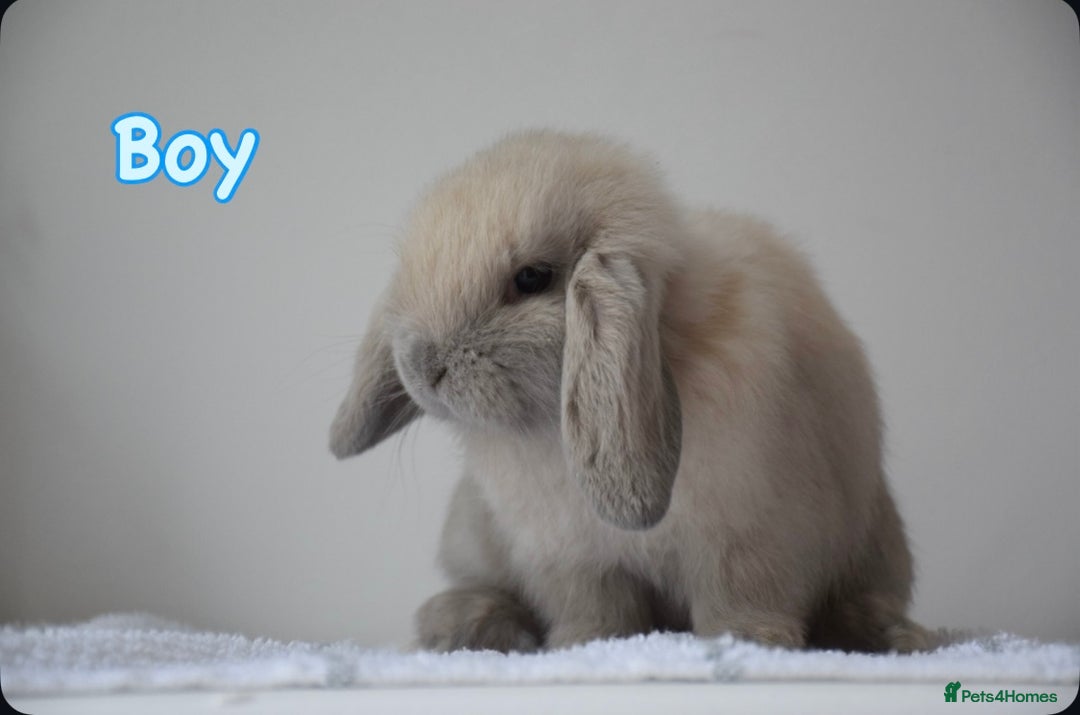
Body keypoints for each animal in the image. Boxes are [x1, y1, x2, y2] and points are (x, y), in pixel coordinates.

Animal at [329, 129, 930, 654]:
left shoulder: (750, 535)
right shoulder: (570, 558)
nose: (423, 365)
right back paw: (467, 624)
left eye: (531, 278)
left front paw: (747, 640)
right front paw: (581, 645)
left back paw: (895, 634)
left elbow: (740, 594)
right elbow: (596, 609)